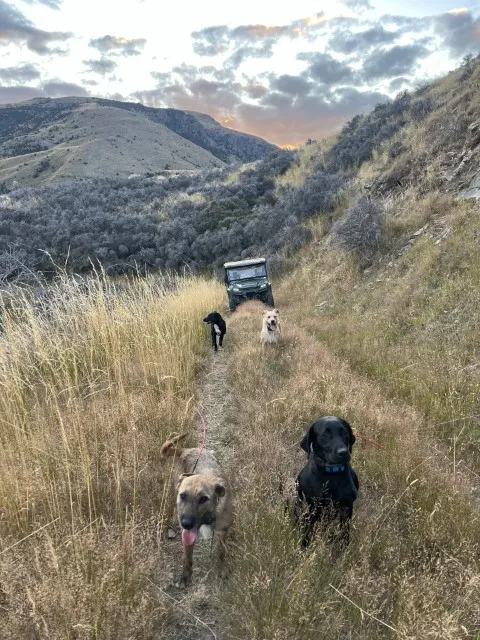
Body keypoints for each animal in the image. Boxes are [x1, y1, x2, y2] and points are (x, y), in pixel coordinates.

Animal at [160, 432, 233, 588]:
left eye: (203, 499)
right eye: (182, 496)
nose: (186, 523)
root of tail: (187, 450)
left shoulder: (223, 530)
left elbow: (220, 553)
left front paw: (221, 568)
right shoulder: (187, 535)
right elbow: (187, 557)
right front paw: (185, 576)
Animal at [294, 418, 358, 548]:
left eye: (344, 432)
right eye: (325, 435)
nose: (343, 452)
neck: (332, 475)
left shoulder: (347, 507)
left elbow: (345, 532)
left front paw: (344, 548)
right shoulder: (312, 508)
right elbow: (307, 532)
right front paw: (304, 547)